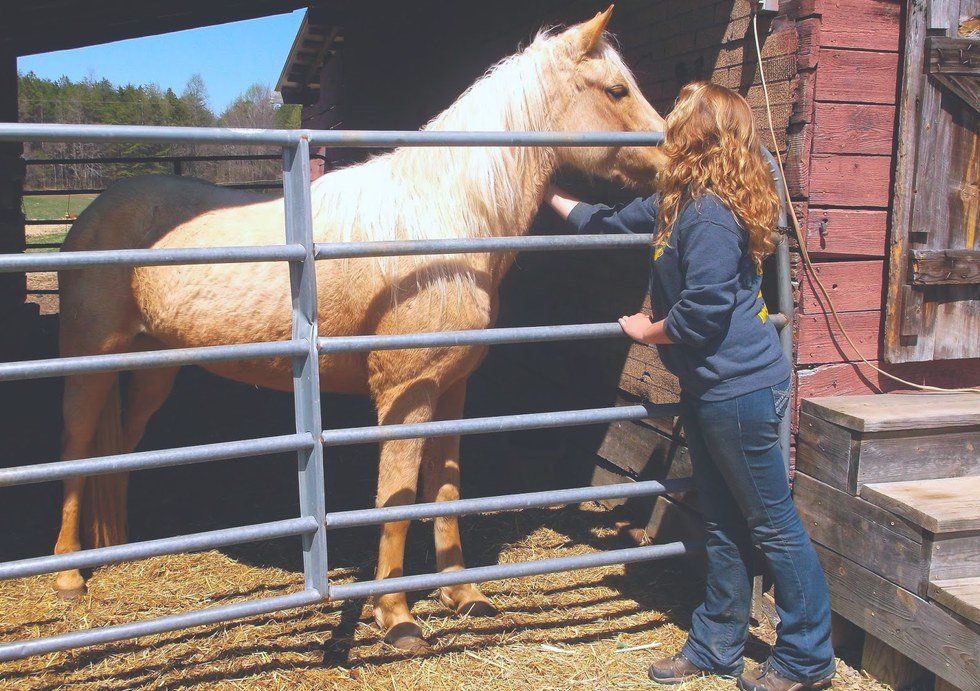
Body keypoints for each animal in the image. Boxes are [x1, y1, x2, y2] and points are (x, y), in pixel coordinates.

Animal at [53, 6, 668, 656]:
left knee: (117, 451)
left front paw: (463, 594)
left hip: (154, 368)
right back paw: (69, 575)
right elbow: (394, 501)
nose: (673, 154)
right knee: (75, 450)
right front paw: (396, 616)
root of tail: (93, 212)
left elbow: (445, 492)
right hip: (89, 363)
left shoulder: (452, 392)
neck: (442, 224)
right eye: (617, 90)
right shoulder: (406, 395)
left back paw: (118, 550)